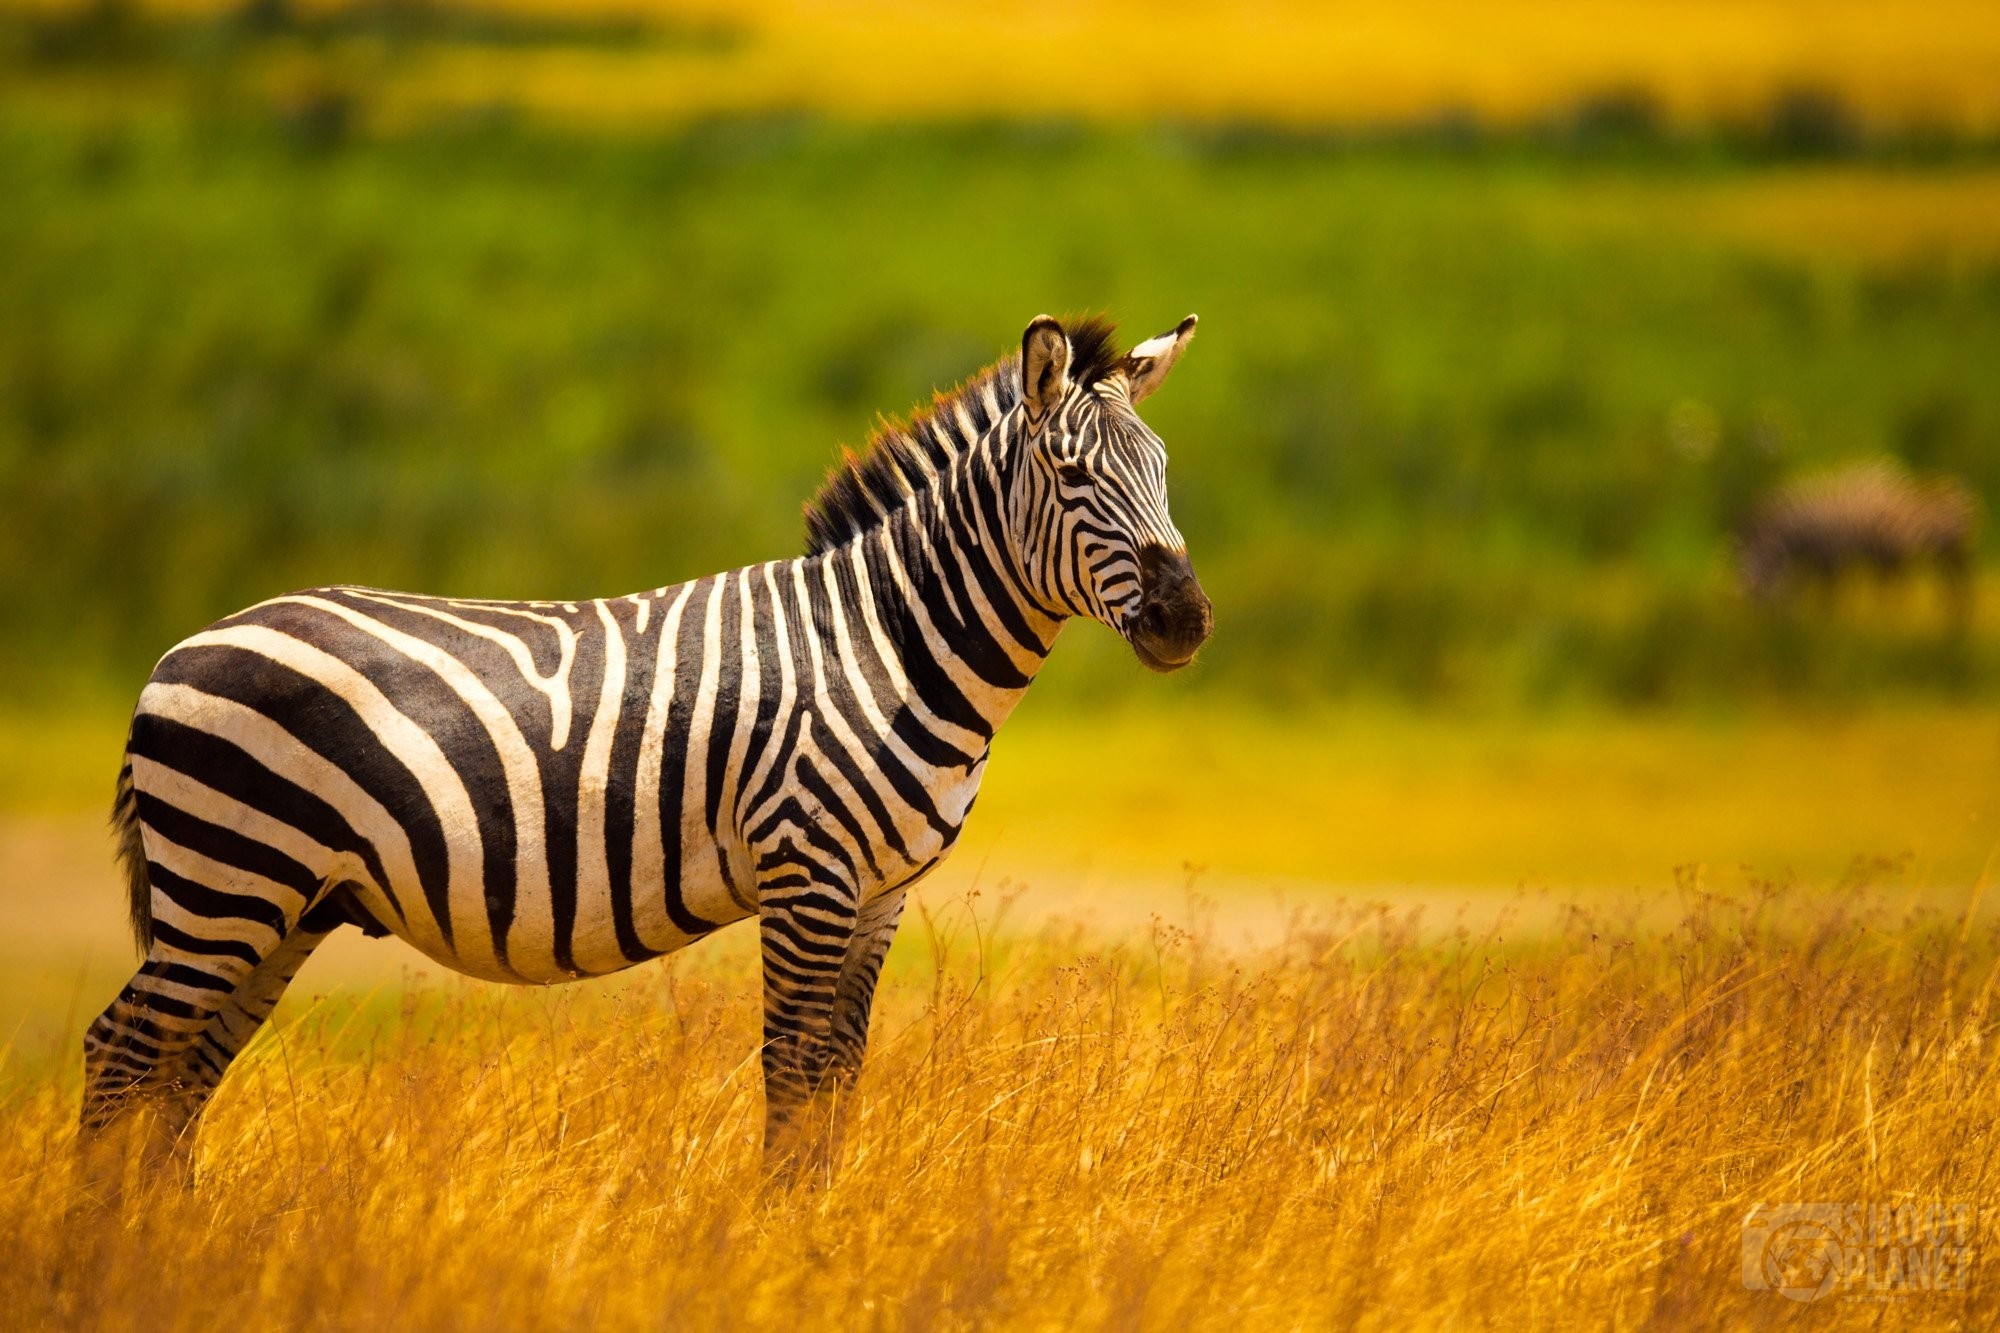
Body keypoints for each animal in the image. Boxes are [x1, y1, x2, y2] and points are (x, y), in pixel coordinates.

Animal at [78, 314, 1208, 1192]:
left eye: (1162, 474)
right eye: (1070, 475)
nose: (1185, 621)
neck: (885, 644)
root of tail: (181, 648)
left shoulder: (880, 892)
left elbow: (839, 1074)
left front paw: (826, 1230)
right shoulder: (807, 870)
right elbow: (791, 1069)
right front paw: (776, 1242)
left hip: (284, 902)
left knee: (184, 1065)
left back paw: (177, 1239)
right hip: (227, 879)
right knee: (122, 1050)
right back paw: (104, 1255)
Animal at [1744, 456, 1976, 616]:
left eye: (1761, 568)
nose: (1752, 607)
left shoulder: (1831, 558)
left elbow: (1830, 594)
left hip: (1941, 555)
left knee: (1951, 583)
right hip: (1935, 556)